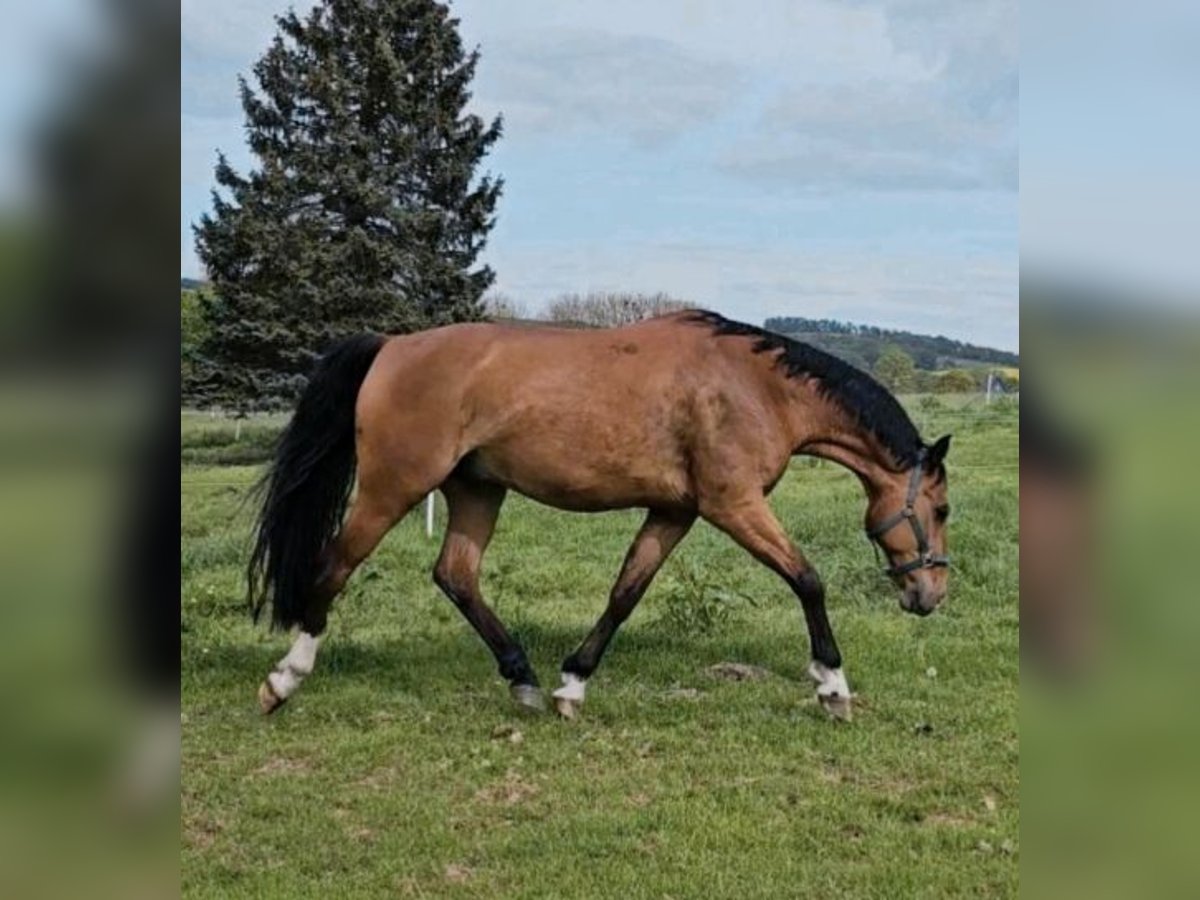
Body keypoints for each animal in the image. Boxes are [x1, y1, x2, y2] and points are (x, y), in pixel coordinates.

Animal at [249, 310, 951, 722]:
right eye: (941, 508)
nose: (930, 593)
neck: (757, 388)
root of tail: (392, 345)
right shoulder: (734, 505)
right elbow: (807, 579)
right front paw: (832, 685)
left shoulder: (674, 511)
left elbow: (625, 594)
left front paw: (572, 684)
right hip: (392, 487)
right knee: (335, 566)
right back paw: (284, 680)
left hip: (477, 491)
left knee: (455, 575)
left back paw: (524, 680)